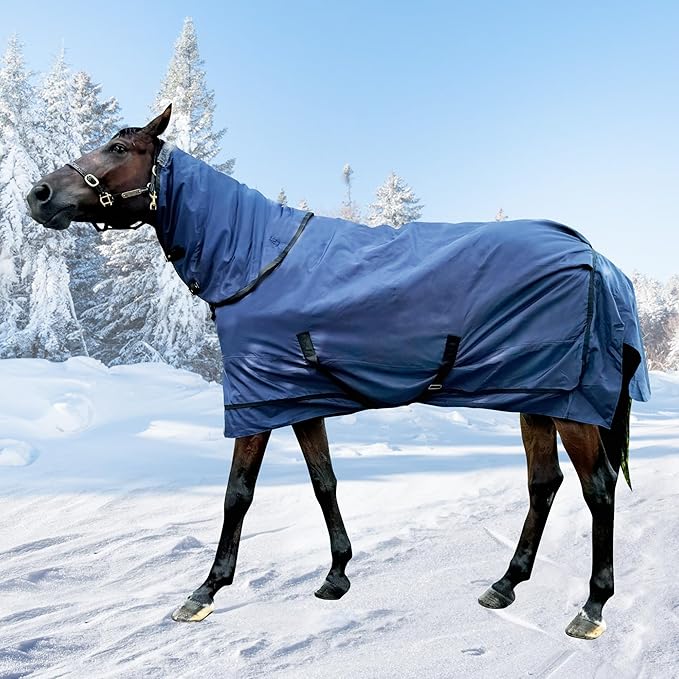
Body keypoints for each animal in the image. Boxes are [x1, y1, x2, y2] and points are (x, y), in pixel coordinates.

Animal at [26, 105, 650, 640]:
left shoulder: (256, 402)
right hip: (537, 395)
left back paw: (592, 606)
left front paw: (206, 589)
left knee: (598, 490)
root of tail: (597, 258)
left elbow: (237, 493)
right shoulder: (297, 398)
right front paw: (336, 575)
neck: (256, 260)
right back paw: (505, 584)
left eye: (119, 147)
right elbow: (322, 481)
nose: (38, 195)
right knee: (544, 483)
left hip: (570, 405)